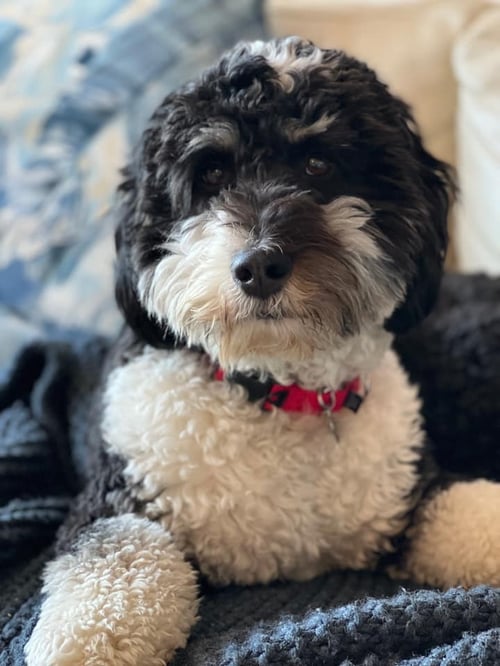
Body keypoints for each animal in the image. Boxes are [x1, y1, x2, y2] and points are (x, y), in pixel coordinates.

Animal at [24, 37, 500, 664]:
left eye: (319, 164)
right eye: (211, 173)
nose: (258, 266)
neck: (274, 390)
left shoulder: (413, 493)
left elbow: (463, 508)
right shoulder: (116, 498)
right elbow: (119, 561)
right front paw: (84, 643)